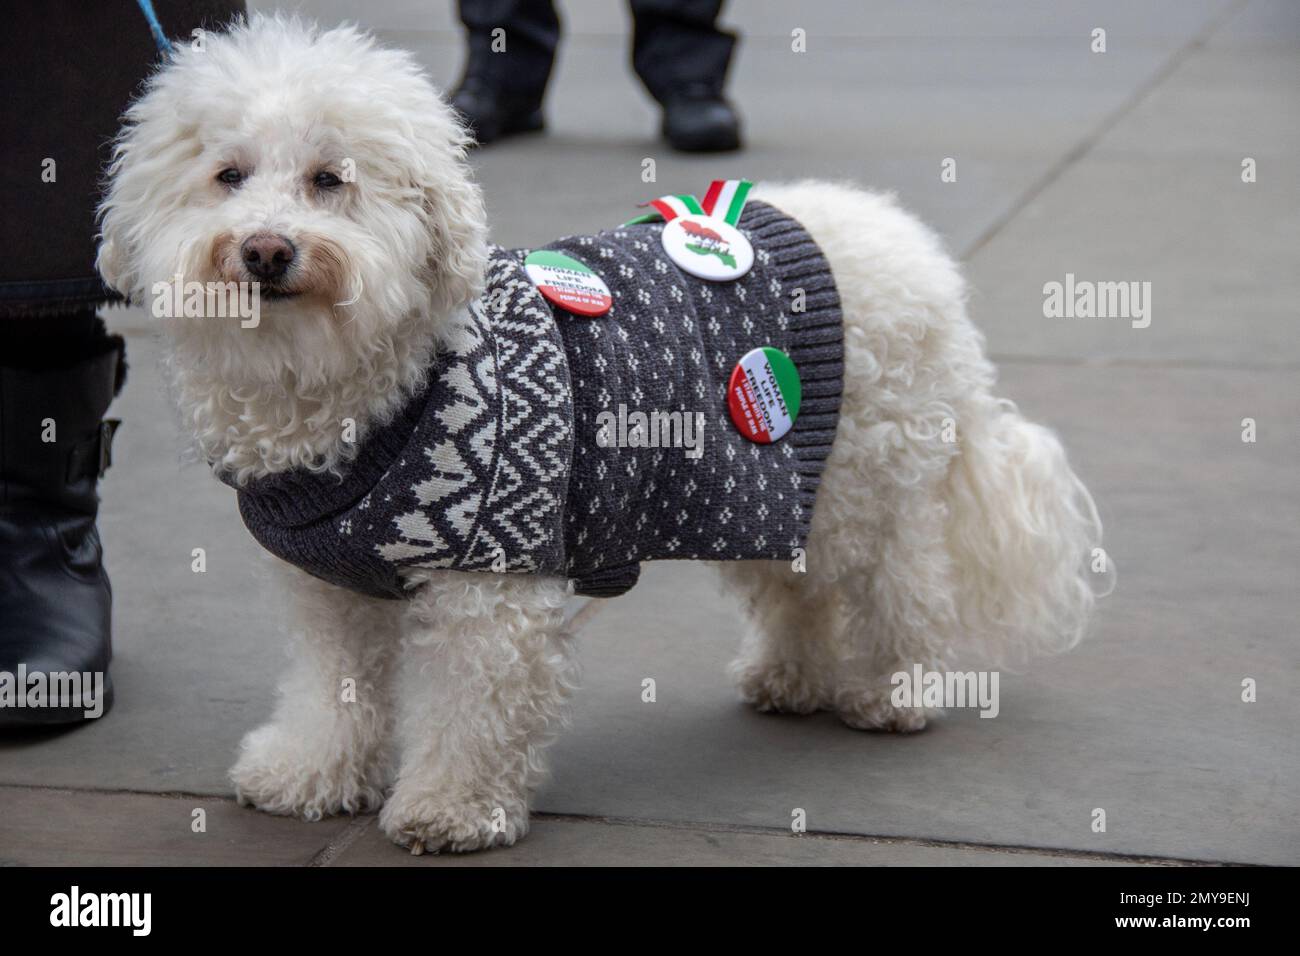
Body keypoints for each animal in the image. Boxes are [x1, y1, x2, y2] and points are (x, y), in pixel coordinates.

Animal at [96, 13, 1102, 853]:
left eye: (329, 180)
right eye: (227, 175)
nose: (265, 248)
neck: (373, 390)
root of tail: (912, 245)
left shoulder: (491, 579)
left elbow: (471, 710)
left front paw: (452, 808)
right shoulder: (330, 588)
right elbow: (328, 690)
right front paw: (310, 772)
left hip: (865, 482)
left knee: (903, 586)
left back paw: (898, 690)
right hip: (765, 487)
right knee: (799, 589)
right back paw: (792, 676)